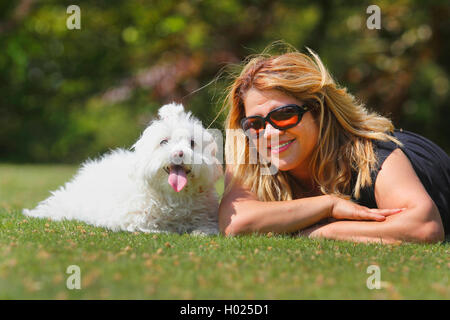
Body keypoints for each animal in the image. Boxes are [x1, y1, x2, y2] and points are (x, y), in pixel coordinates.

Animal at [22, 103, 223, 235]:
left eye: (192, 143)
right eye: (164, 142)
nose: (179, 153)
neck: (173, 196)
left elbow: (205, 227)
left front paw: (199, 231)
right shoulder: (130, 220)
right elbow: (153, 228)